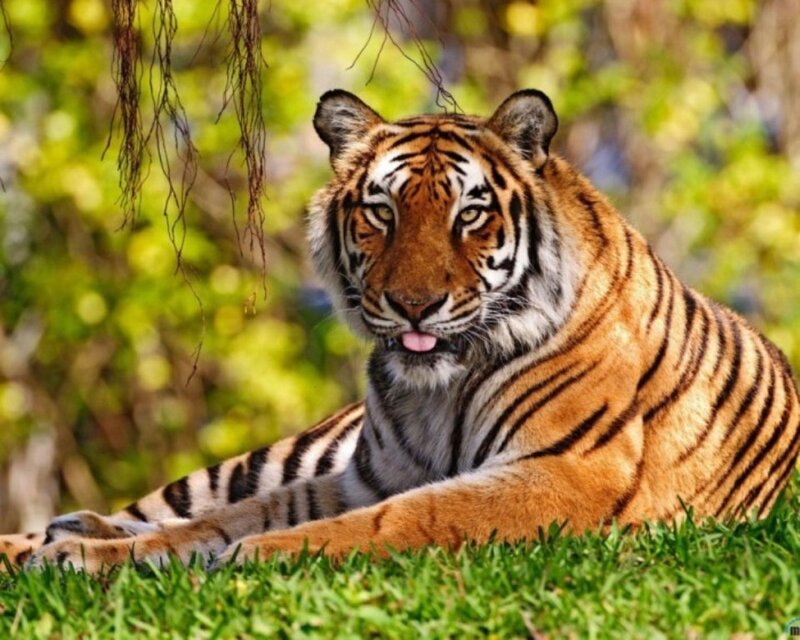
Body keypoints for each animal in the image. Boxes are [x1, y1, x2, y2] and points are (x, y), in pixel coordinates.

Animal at [2, 88, 798, 573]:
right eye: (381, 212)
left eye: (470, 214)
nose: (413, 304)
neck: (436, 389)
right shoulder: (364, 474)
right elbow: (227, 518)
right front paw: (92, 557)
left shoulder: (563, 473)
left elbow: (398, 520)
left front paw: (255, 556)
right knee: (162, 508)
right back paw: (60, 534)